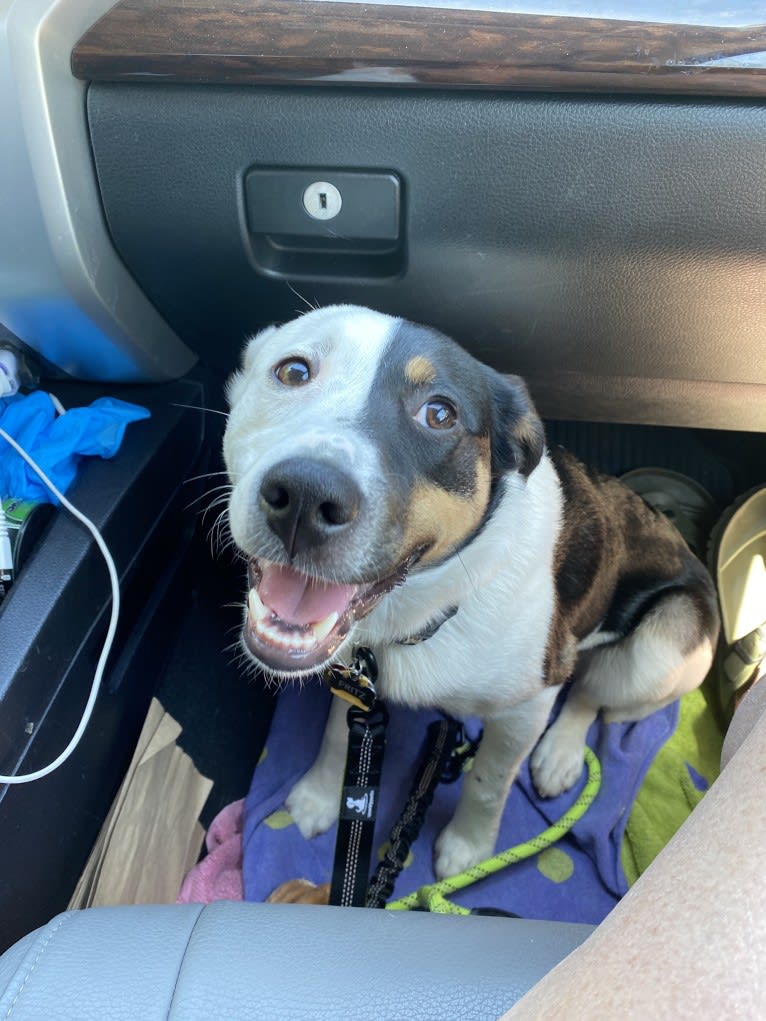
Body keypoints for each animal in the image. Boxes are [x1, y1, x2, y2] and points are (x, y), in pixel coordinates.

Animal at [220, 302, 719, 878]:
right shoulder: (352, 675)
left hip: (660, 646)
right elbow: (337, 736)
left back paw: (560, 754)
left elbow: (489, 780)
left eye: (440, 414)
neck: (426, 609)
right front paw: (322, 796)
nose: (303, 497)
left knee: (591, 692)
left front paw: (469, 849)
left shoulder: (529, 702)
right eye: (294, 371)